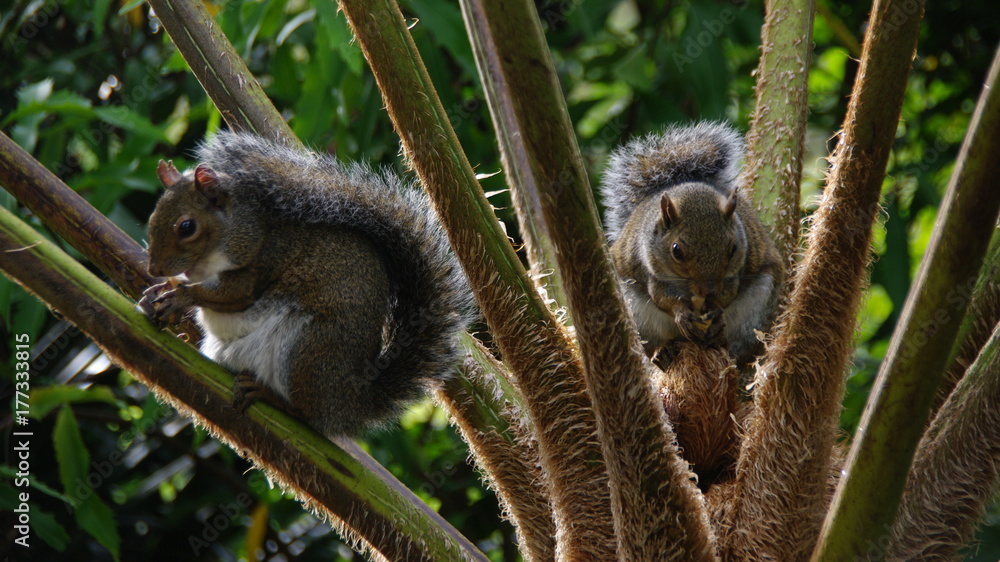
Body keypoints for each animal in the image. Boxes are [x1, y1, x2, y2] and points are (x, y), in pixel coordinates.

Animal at [138, 131, 471, 437]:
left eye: (186, 227)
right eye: (152, 218)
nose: (154, 268)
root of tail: (349, 401)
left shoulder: (261, 261)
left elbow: (233, 295)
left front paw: (181, 297)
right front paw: (157, 292)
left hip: (307, 349)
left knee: (306, 413)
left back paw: (271, 396)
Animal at [601, 122, 784, 367]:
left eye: (733, 248)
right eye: (676, 251)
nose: (708, 290)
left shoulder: (733, 276)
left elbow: (728, 294)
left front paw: (716, 308)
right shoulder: (652, 272)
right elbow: (662, 298)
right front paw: (680, 313)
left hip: (755, 309)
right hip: (637, 315)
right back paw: (663, 351)